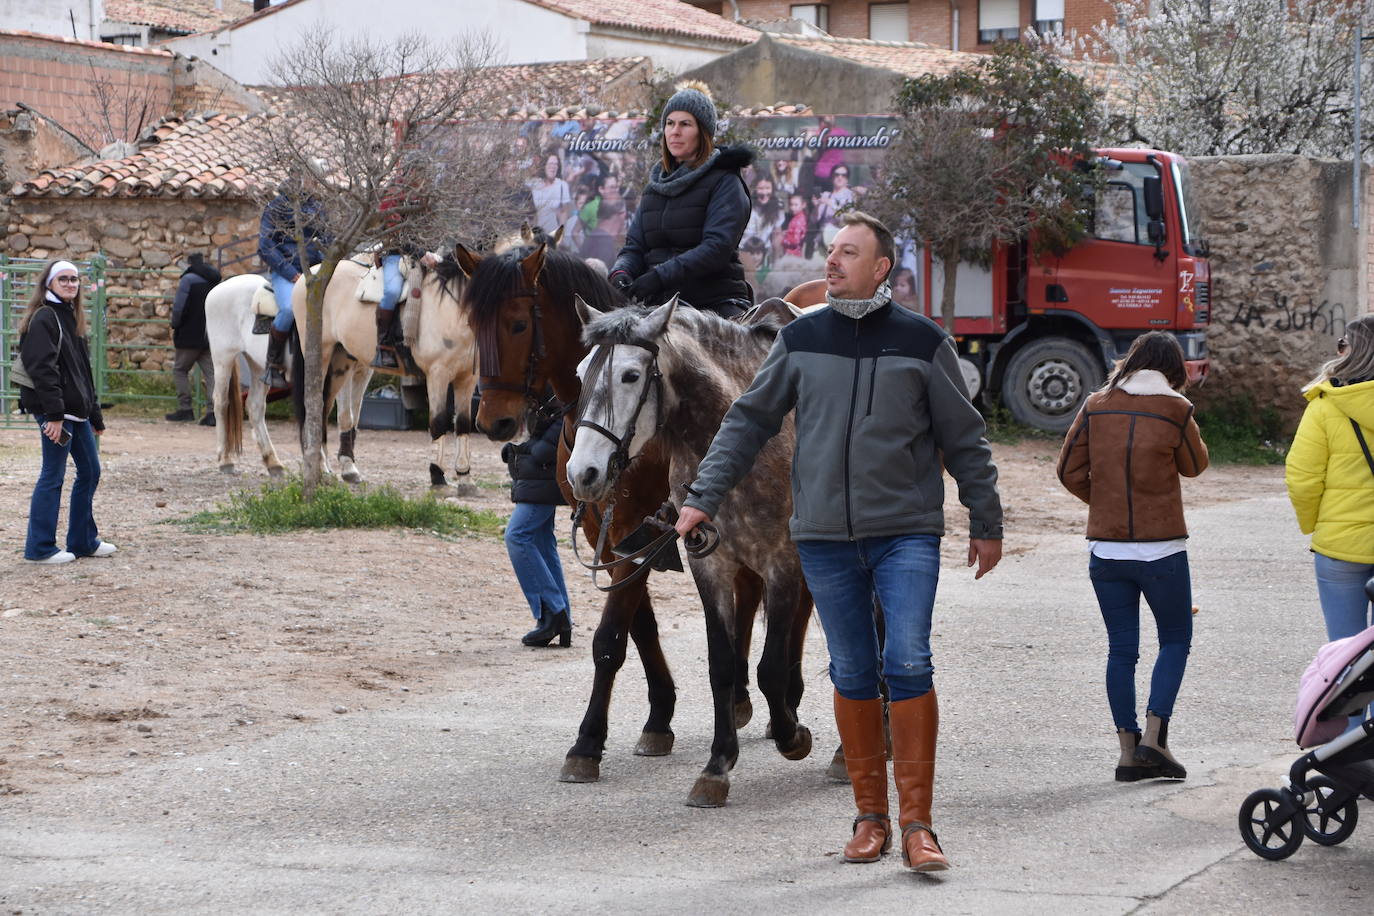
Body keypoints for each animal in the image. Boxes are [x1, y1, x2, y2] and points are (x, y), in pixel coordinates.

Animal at [461, 240, 780, 796]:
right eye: (473, 326)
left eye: (518, 324)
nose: (493, 420)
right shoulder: (611, 538)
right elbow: (640, 627)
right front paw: (659, 717)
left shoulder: (642, 534)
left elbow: (611, 638)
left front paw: (587, 744)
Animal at [566, 298, 813, 807]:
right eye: (581, 373)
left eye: (631, 376)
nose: (584, 473)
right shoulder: (709, 563)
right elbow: (721, 662)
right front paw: (718, 765)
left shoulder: (782, 562)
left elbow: (771, 668)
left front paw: (792, 735)